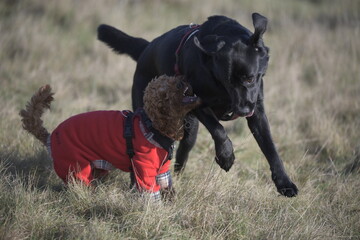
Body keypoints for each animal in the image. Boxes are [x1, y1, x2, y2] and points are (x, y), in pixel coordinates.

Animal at [19, 74, 201, 201]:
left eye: (171, 78)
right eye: (165, 95)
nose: (182, 79)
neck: (152, 126)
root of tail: (49, 138)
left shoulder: (162, 168)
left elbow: (166, 185)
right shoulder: (144, 167)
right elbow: (150, 191)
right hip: (77, 168)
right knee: (80, 186)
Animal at [97, 12, 298, 197]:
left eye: (249, 78)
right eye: (226, 81)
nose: (242, 110)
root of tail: (146, 48)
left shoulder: (257, 112)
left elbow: (270, 148)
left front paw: (284, 183)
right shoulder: (199, 103)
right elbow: (219, 129)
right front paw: (226, 156)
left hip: (189, 130)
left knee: (182, 153)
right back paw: (136, 185)